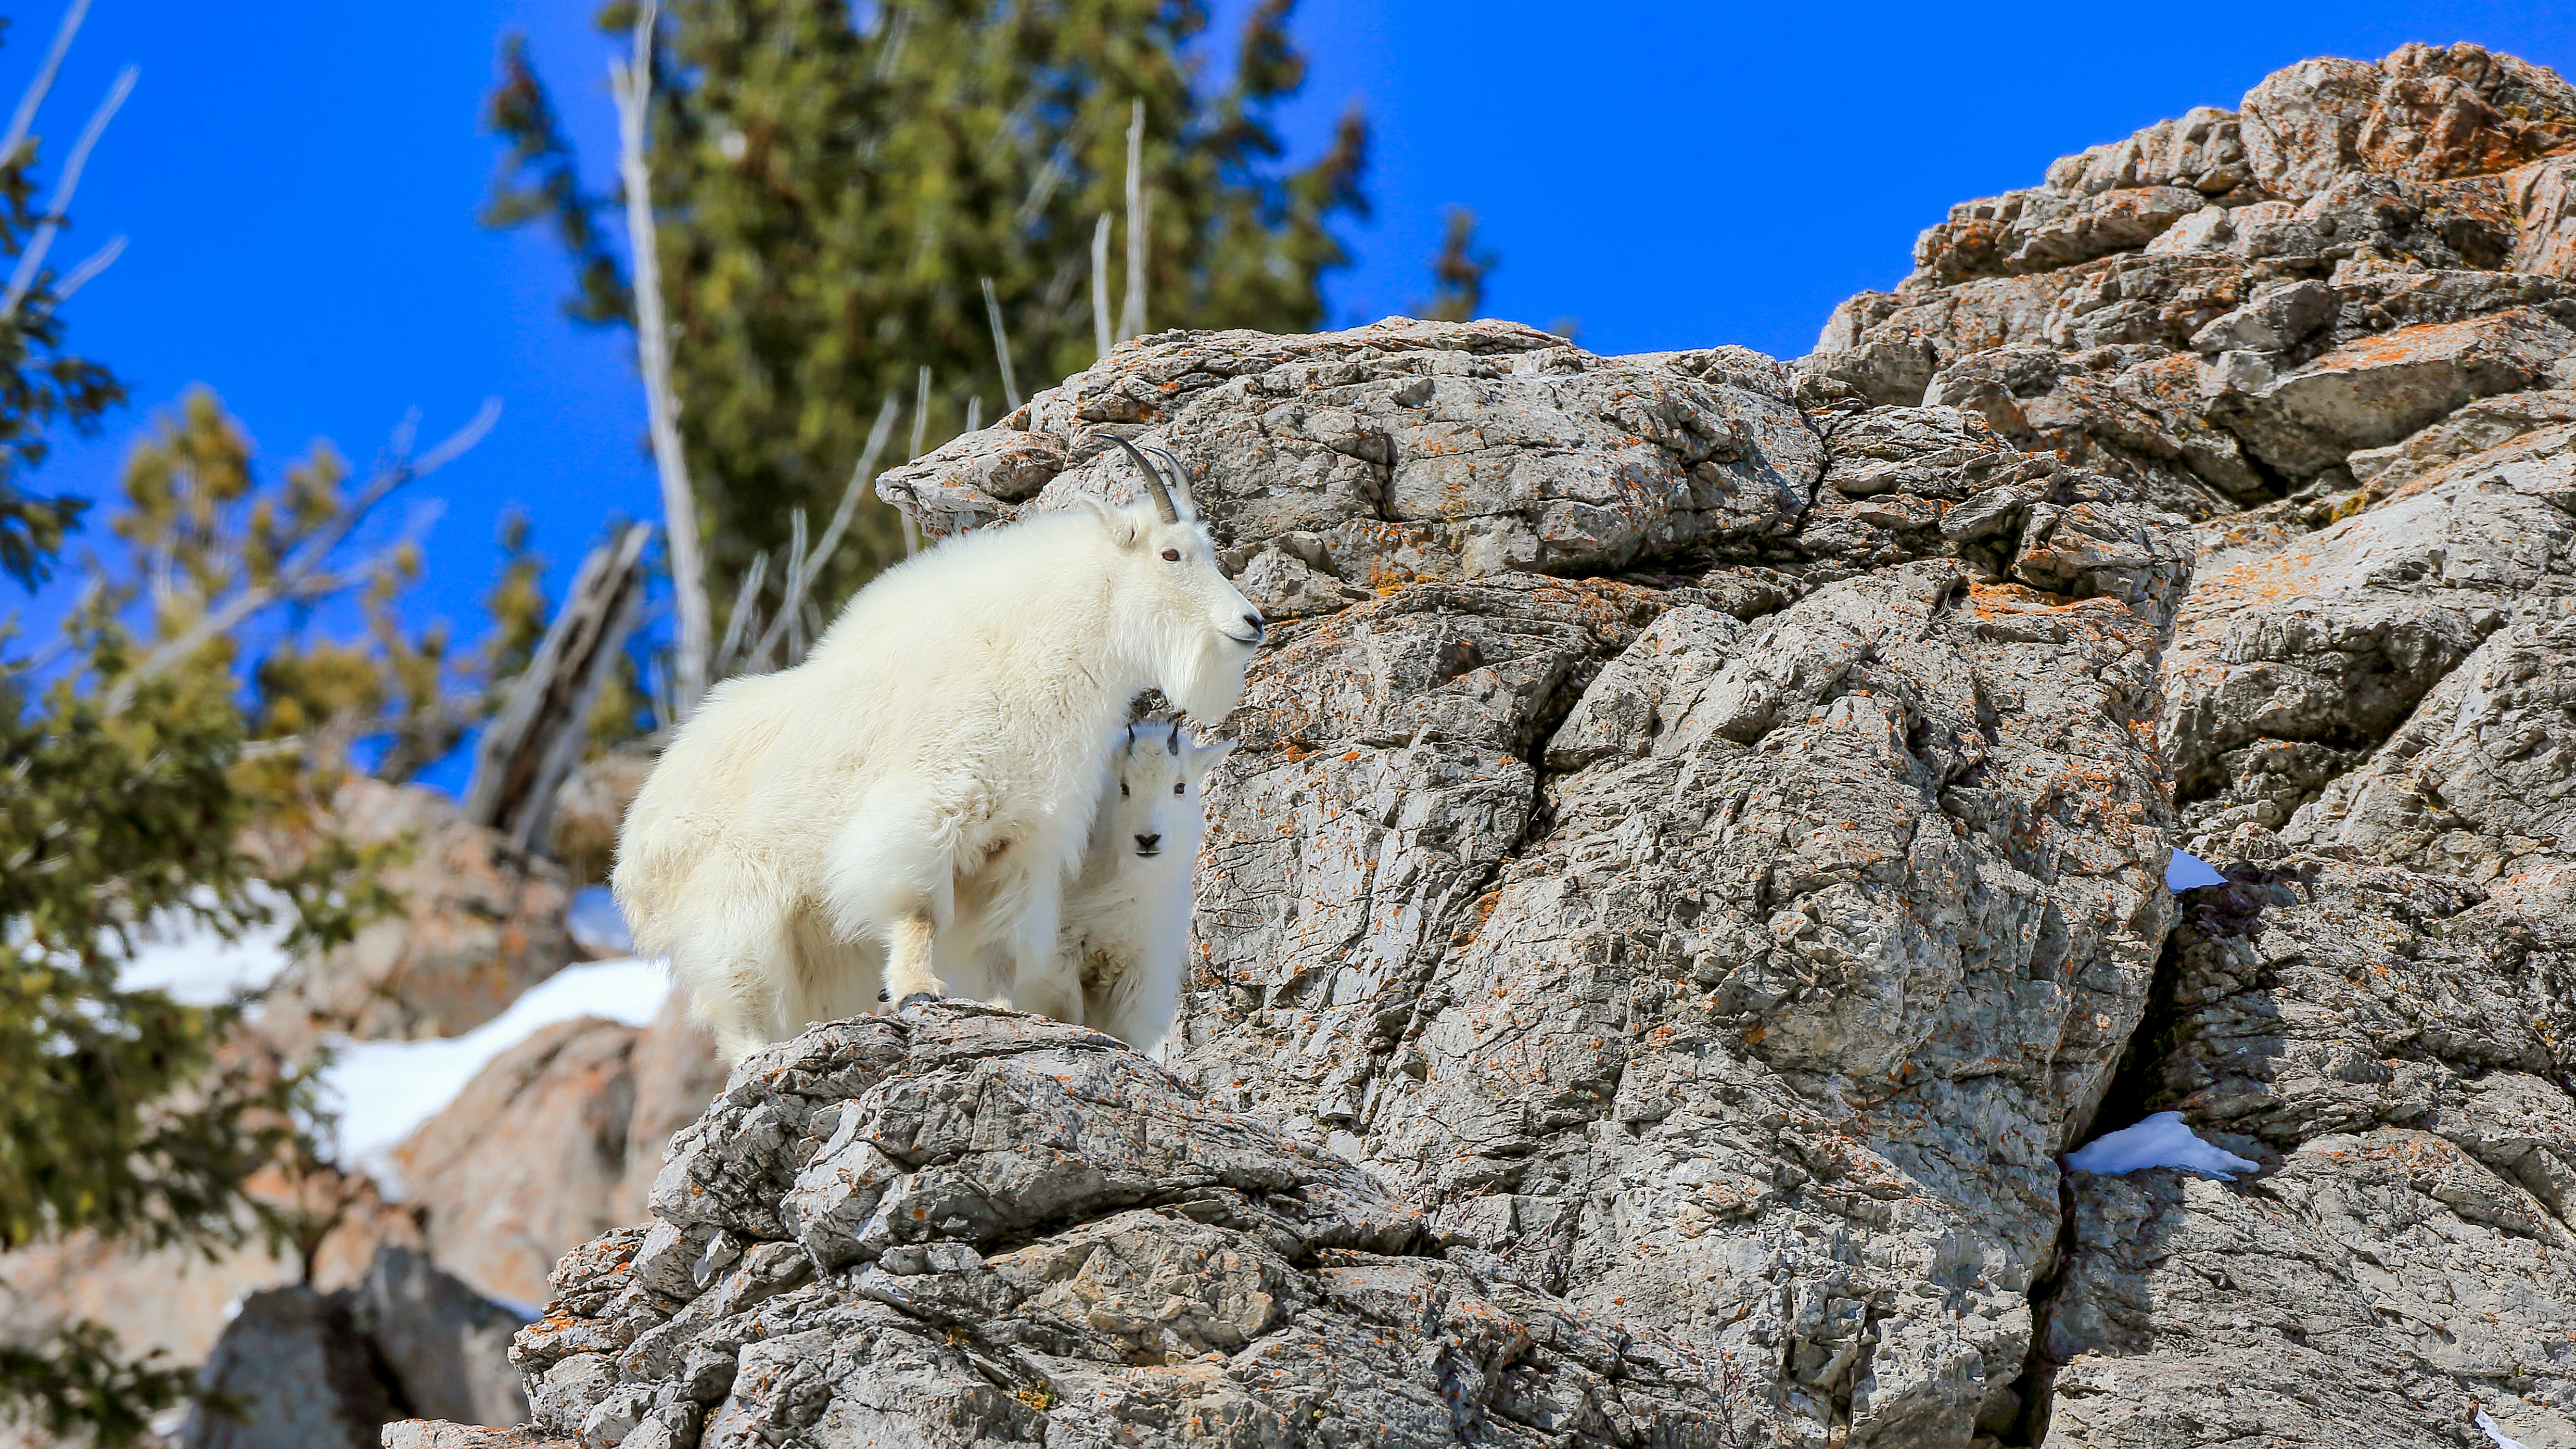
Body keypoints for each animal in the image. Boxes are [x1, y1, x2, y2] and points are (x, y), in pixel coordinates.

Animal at [612, 441, 1263, 1062]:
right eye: (1171, 555)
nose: (1252, 622)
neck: (1042, 654)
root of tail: (635, 840)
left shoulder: (1022, 843)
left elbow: (1000, 945)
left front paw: (1001, 1010)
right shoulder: (929, 815)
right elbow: (919, 912)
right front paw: (919, 991)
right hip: (731, 912)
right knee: (739, 1002)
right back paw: (760, 1056)